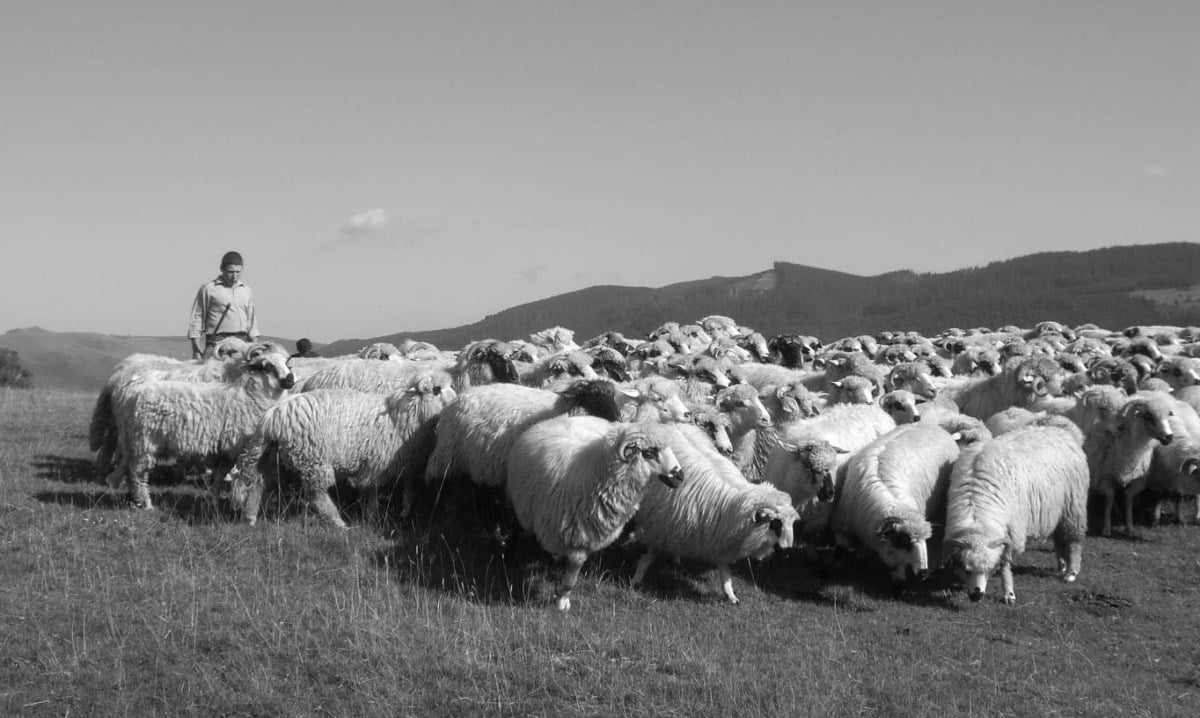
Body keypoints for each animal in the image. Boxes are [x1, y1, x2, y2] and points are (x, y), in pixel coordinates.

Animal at [106, 345, 297, 509]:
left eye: (287, 363)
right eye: (268, 366)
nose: (290, 379)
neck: (250, 397)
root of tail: (133, 395)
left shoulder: (224, 451)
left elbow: (219, 478)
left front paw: (214, 502)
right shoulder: (237, 447)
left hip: (137, 442)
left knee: (130, 469)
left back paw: (134, 500)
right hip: (144, 441)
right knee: (137, 473)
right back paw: (145, 504)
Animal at [501, 415, 681, 612]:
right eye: (649, 452)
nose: (680, 476)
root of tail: (561, 418)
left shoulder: (583, 536)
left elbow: (574, 571)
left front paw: (562, 596)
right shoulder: (576, 532)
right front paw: (561, 597)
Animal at [628, 425, 796, 605]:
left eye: (791, 524)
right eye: (776, 523)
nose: (787, 551)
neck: (732, 506)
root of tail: (670, 424)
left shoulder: (718, 538)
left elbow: (724, 571)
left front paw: (731, 595)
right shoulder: (659, 525)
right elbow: (650, 554)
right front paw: (637, 578)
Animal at [830, 425, 960, 588]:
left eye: (924, 541)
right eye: (904, 541)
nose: (923, 573)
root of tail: (936, 426)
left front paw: (899, 580)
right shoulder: (846, 523)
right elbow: (842, 547)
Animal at [940, 425, 1094, 605]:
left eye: (989, 569)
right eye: (966, 569)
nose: (976, 595)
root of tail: (1061, 431)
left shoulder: (1011, 531)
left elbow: (1005, 563)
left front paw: (1009, 593)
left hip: (1073, 506)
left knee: (1073, 540)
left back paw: (1071, 572)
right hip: (1056, 510)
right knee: (1059, 537)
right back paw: (1062, 565)